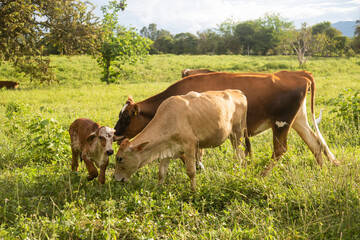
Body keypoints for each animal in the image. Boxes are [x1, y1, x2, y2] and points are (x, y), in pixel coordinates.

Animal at [114, 90, 249, 191]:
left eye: (120, 159)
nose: (115, 178)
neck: (168, 120)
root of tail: (237, 92)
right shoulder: (166, 148)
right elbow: (161, 172)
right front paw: (158, 188)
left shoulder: (190, 145)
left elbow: (191, 171)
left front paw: (193, 191)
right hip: (232, 136)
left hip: (238, 133)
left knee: (240, 155)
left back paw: (240, 172)